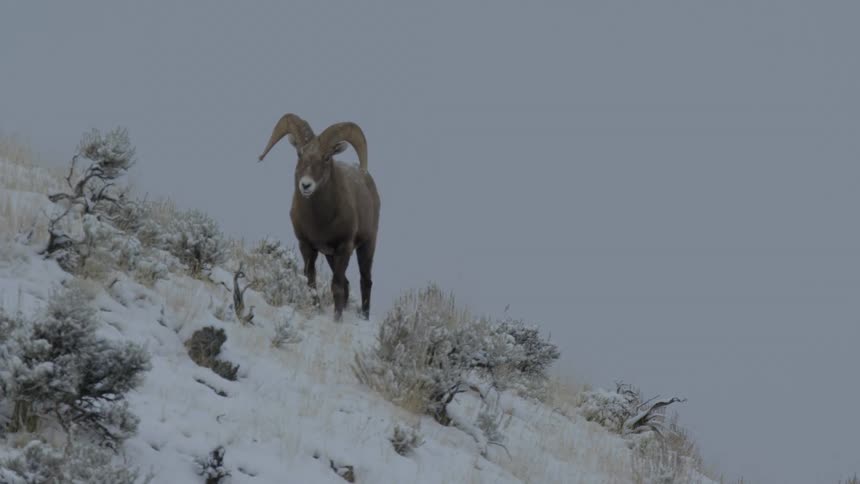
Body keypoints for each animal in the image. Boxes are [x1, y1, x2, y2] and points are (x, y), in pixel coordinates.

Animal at [258, 113, 381, 321]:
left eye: (326, 157)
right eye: (299, 154)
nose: (306, 185)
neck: (320, 220)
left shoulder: (344, 247)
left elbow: (337, 286)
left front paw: (337, 320)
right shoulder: (307, 246)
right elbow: (311, 282)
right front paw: (317, 309)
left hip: (366, 245)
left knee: (365, 281)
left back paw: (364, 317)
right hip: (331, 256)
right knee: (348, 283)